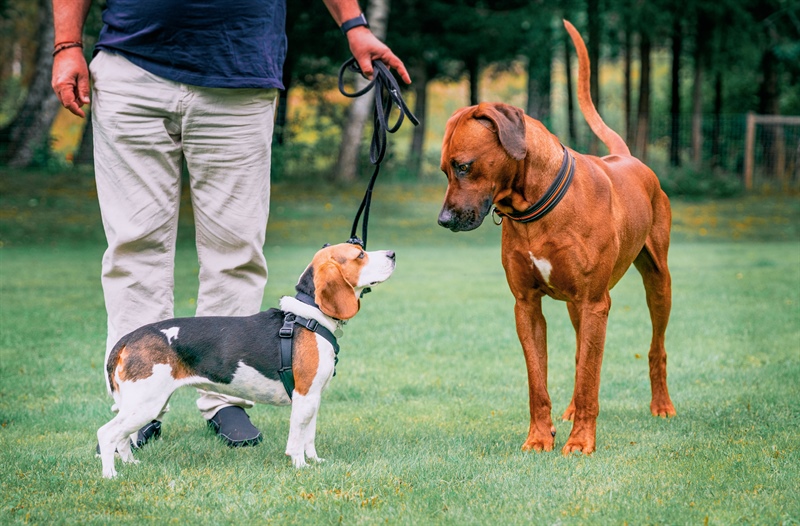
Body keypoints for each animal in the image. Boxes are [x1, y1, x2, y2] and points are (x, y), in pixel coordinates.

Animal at [438, 21, 676, 458]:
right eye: (444, 170)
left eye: (464, 166)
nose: (443, 220)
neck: (536, 207)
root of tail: (627, 157)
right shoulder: (526, 306)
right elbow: (540, 381)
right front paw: (539, 437)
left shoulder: (595, 301)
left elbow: (589, 380)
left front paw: (581, 441)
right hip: (575, 306)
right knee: (583, 354)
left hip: (657, 282)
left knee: (655, 347)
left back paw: (662, 404)